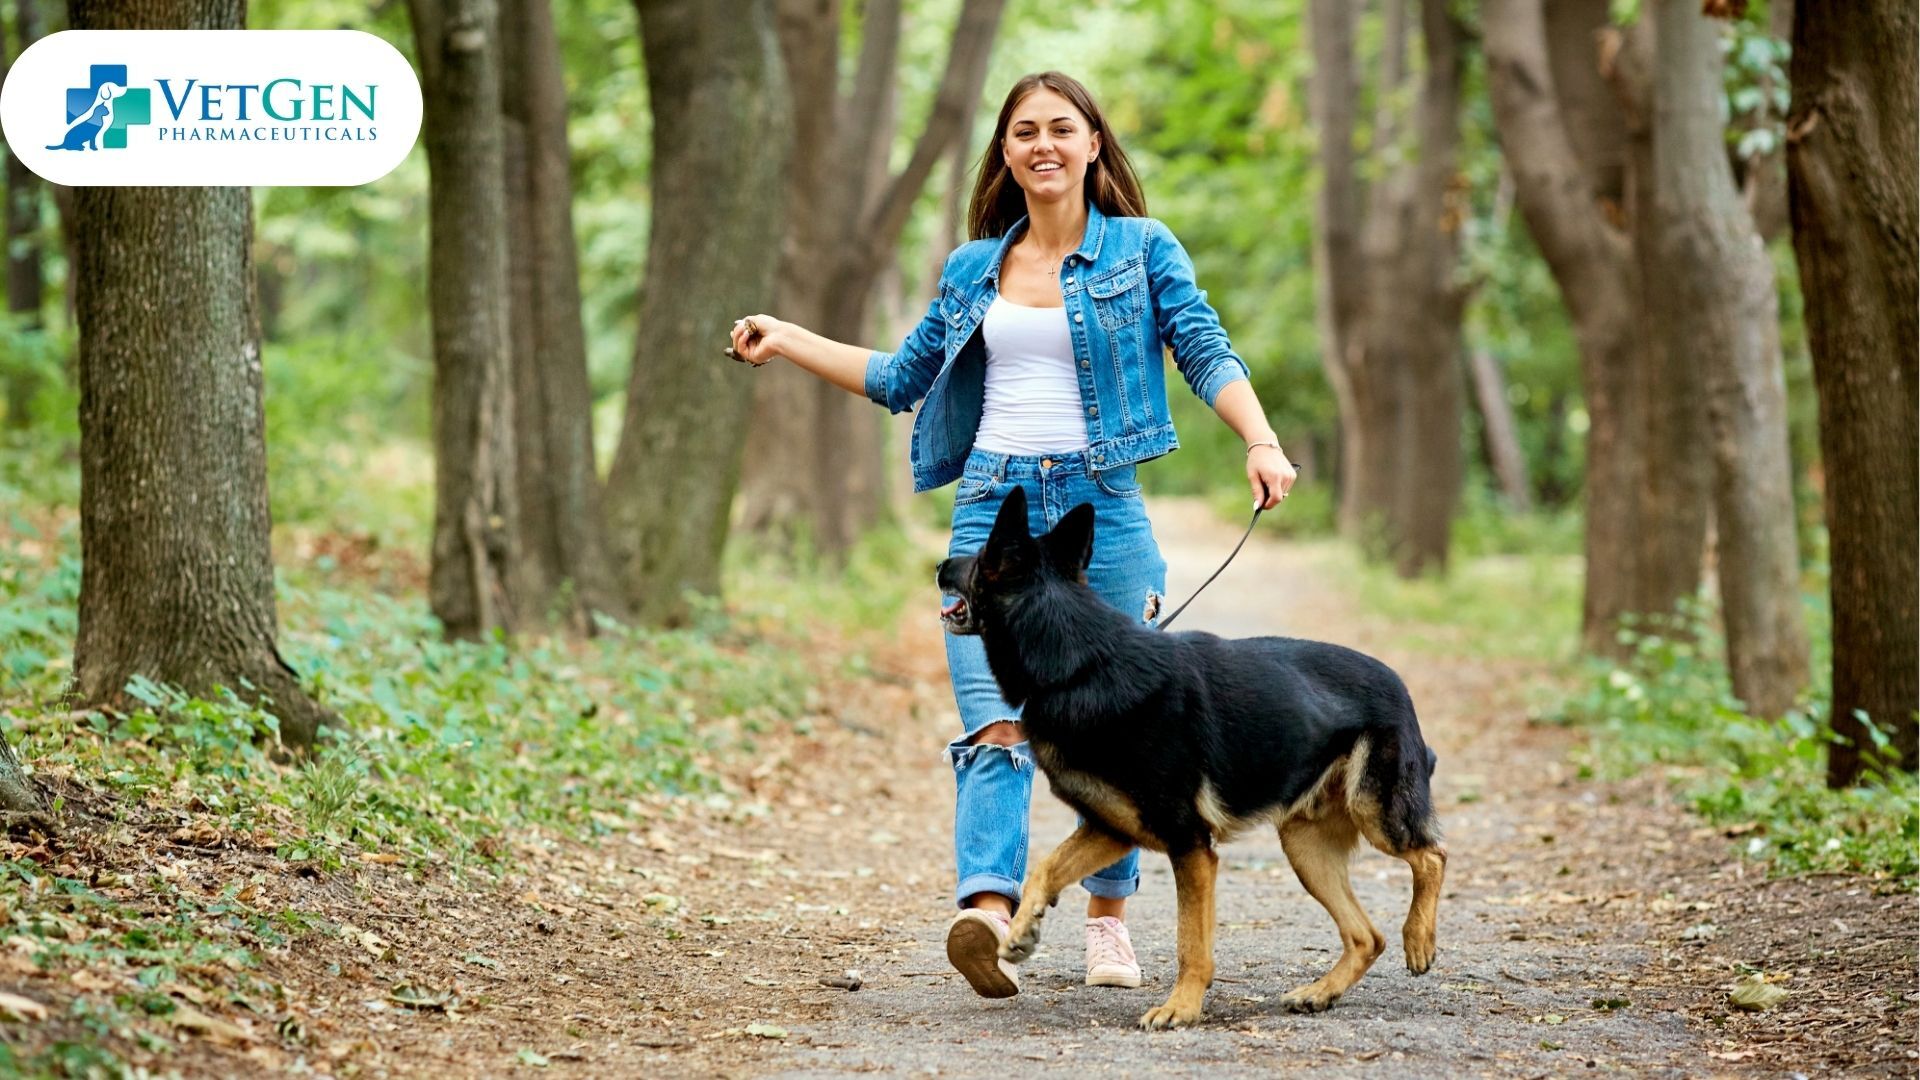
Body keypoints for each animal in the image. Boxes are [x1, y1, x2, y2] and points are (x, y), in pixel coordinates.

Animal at [936, 488, 1443, 1022]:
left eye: (980, 557)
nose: (939, 565)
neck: (1080, 665)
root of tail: (1399, 685)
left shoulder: (1190, 845)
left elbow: (1190, 942)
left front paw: (1180, 1007)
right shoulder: (1114, 829)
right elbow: (1046, 866)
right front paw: (1019, 931)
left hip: (1376, 813)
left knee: (1431, 857)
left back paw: (1418, 940)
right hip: (1306, 848)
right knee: (1367, 935)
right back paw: (1321, 991)